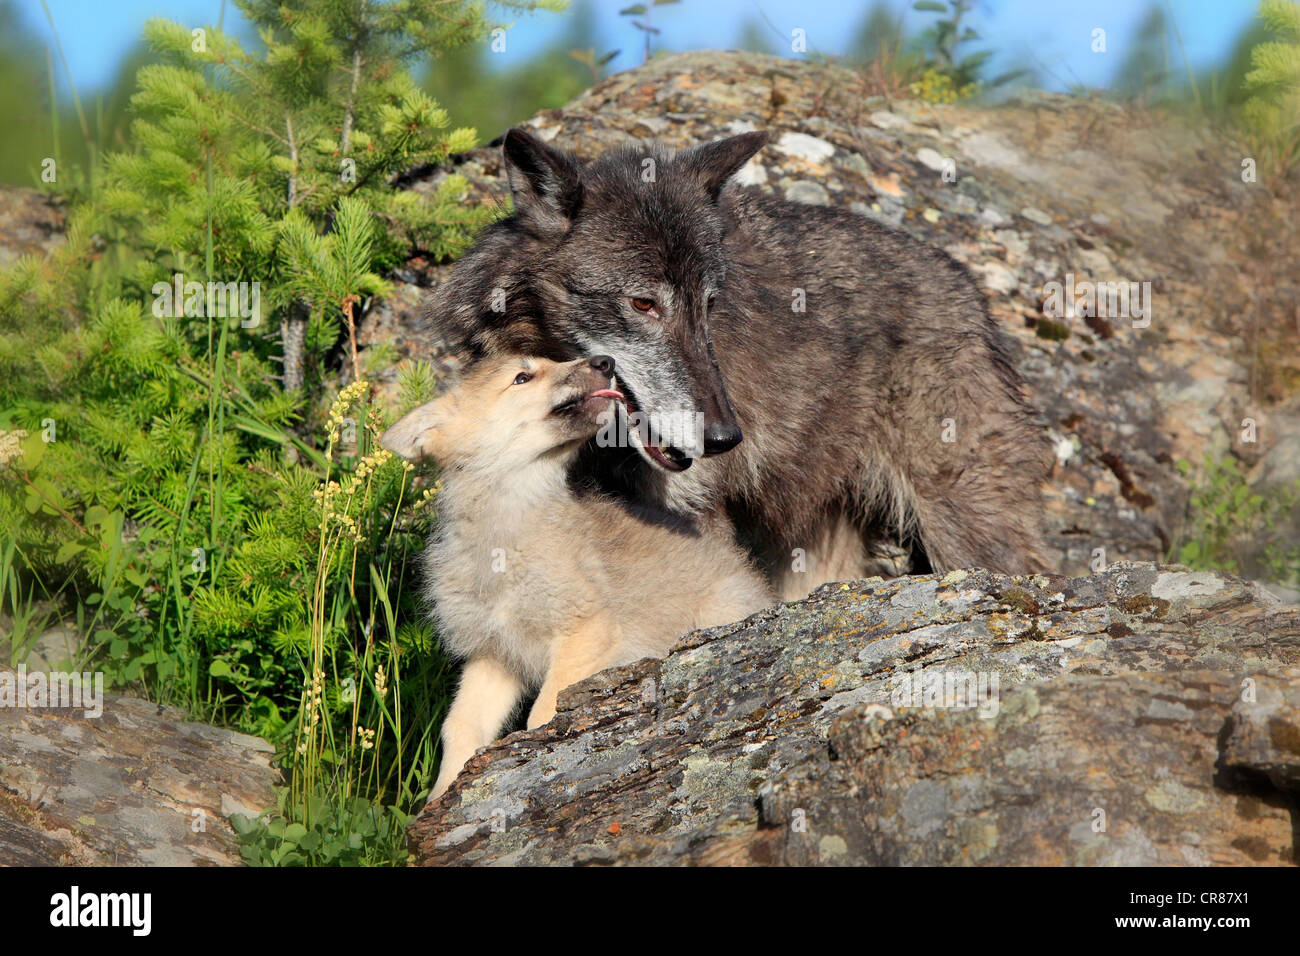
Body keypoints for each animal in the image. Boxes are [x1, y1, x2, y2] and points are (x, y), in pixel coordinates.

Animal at [426, 123, 1045, 595]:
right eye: (643, 303)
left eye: (708, 304)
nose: (724, 437)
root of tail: (975, 300)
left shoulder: (696, 515)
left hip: (961, 530)